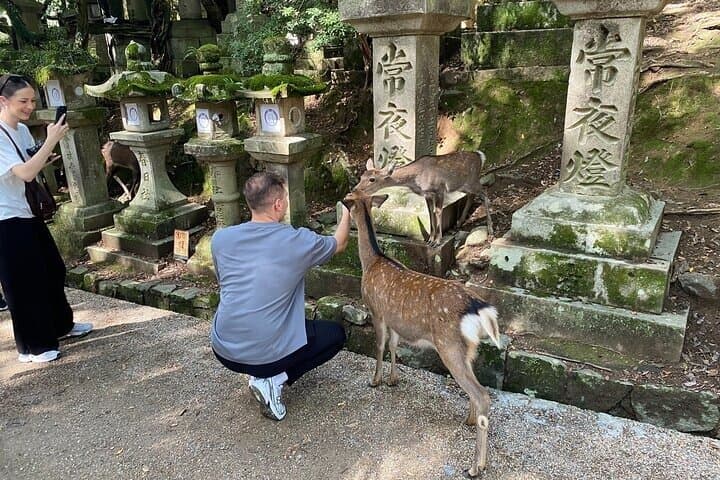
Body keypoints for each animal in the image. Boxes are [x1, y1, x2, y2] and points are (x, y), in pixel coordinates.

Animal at [343, 188, 501, 478]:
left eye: (351, 196)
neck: (371, 262)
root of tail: (479, 309)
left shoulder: (376, 310)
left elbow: (379, 346)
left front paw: (375, 380)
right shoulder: (395, 320)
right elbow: (394, 345)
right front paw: (393, 380)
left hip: (449, 347)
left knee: (482, 394)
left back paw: (476, 466)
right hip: (468, 350)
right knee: (476, 388)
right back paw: (469, 420)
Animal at [354, 151, 493, 246]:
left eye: (372, 179)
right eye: (361, 176)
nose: (355, 189)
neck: (416, 179)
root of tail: (481, 156)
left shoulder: (439, 189)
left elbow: (438, 212)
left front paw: (437, 241)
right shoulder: (427, 194)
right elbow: (430, 213)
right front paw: (430, 240)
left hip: (472, 181)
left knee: (485, 193)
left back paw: (490, 229)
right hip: (462, 185)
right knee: (472, 196)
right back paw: (459, 223)